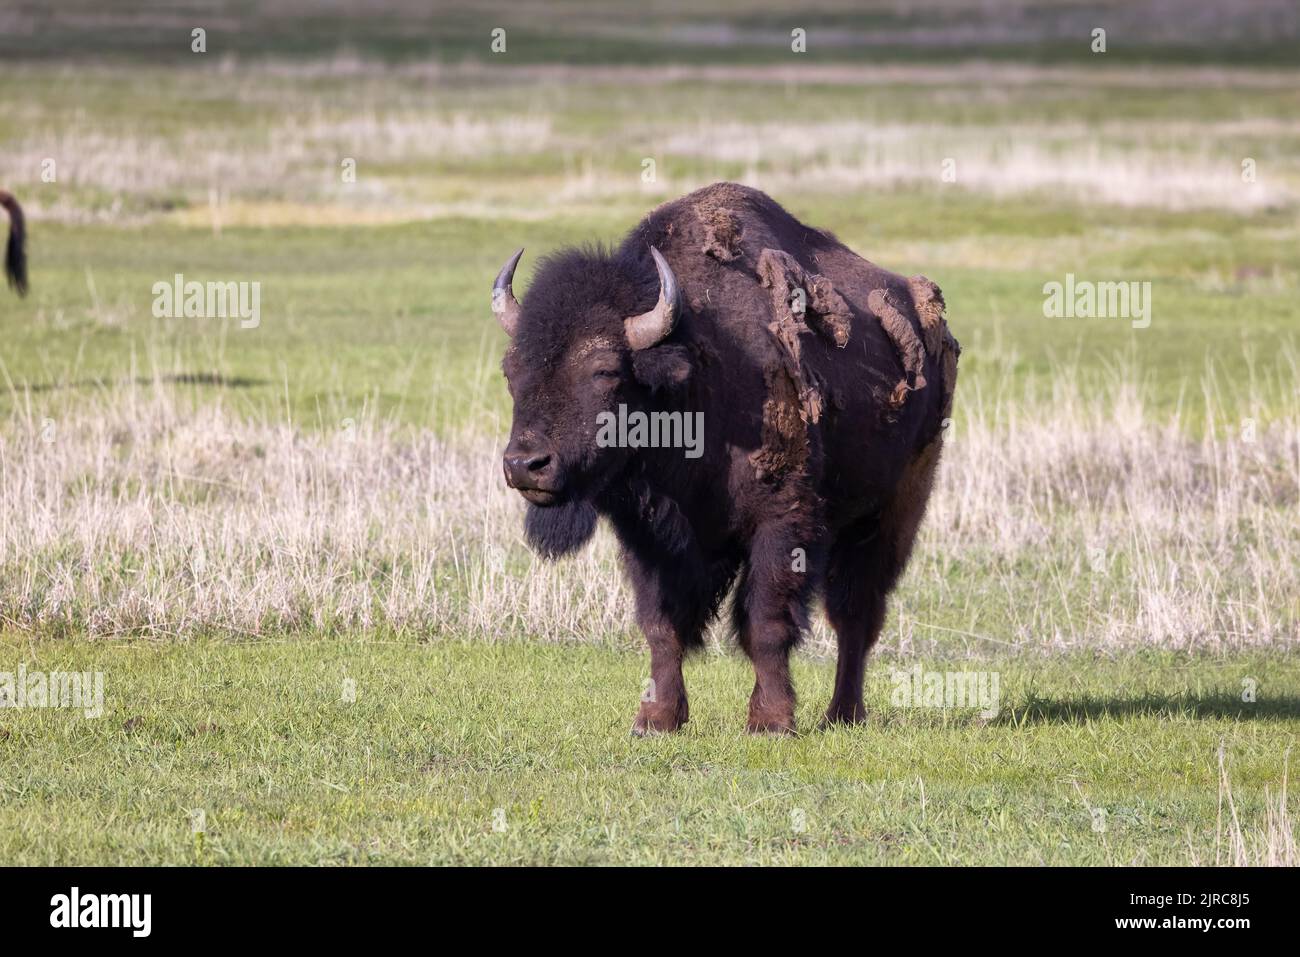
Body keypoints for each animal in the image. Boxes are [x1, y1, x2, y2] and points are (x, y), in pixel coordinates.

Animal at [491, 183, 961, 738]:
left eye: (604, 369)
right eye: (511, 369)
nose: (525, 465)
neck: (697, 378)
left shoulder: (783, 524)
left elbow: (765, 622)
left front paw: (772, 720)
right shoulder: (648, 538)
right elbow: (661, 625)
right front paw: (656, 718)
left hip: (893, 510)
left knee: (855, 615)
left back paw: (843, 713)